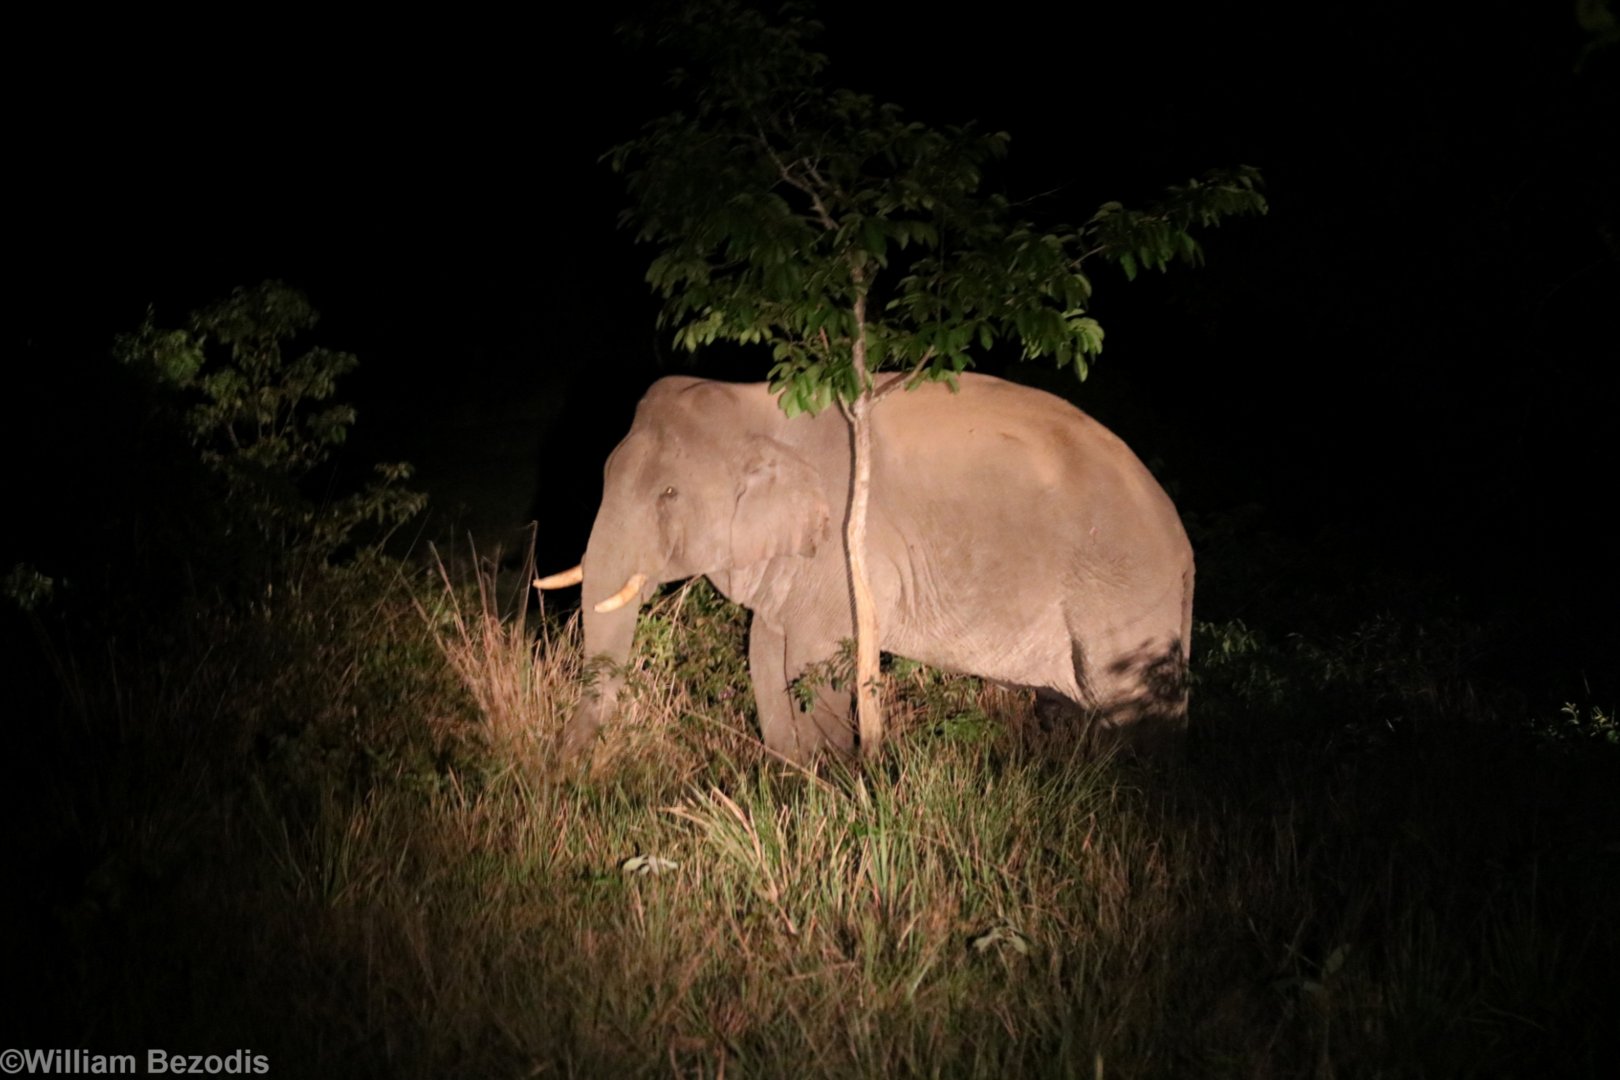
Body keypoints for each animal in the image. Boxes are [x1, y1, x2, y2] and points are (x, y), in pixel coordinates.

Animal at [537, 372, 1194, 764]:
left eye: (668, 493)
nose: (569, 774)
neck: (754, 402)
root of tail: (1182, 546)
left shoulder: (847, 554)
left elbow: (811, 662)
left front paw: (827, 780)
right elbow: (764, 653)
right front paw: (790, 778)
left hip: (1122, 599)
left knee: (1129, 711)